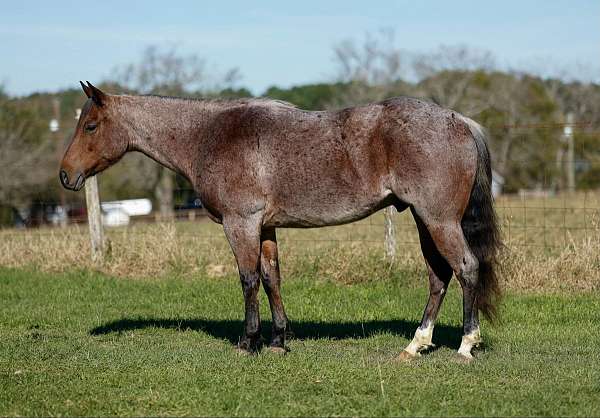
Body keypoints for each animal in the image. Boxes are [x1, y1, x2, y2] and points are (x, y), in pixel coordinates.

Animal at [61, 81, 502, 360]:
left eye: (91, 125)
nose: (65, 175)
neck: (209, 134)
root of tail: (460, 121)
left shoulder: (240, 223)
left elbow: (249, 279)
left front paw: (248, 341)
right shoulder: (266, 226)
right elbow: (272, 278)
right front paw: (278, 340)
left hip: (438, 220)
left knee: (465, 268)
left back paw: (466, 345)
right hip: (425, 221)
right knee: (438, 276)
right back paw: (416, 344)